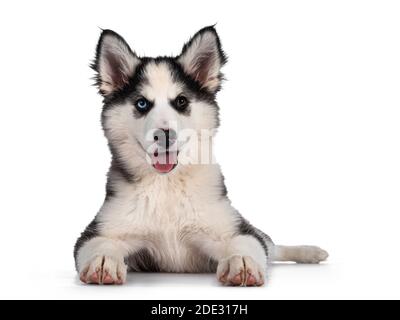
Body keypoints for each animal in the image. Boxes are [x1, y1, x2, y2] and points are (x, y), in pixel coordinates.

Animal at [72, 26, 328, 286]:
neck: (166, 185)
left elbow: (248, 242)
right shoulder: (99, 230)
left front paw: (242, 261)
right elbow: (99, 244)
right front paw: (103, 260)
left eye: (181, 101)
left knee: (272, 245)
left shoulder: (234, 228)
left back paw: (311, 252)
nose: (165, 135)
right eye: (142, 103)